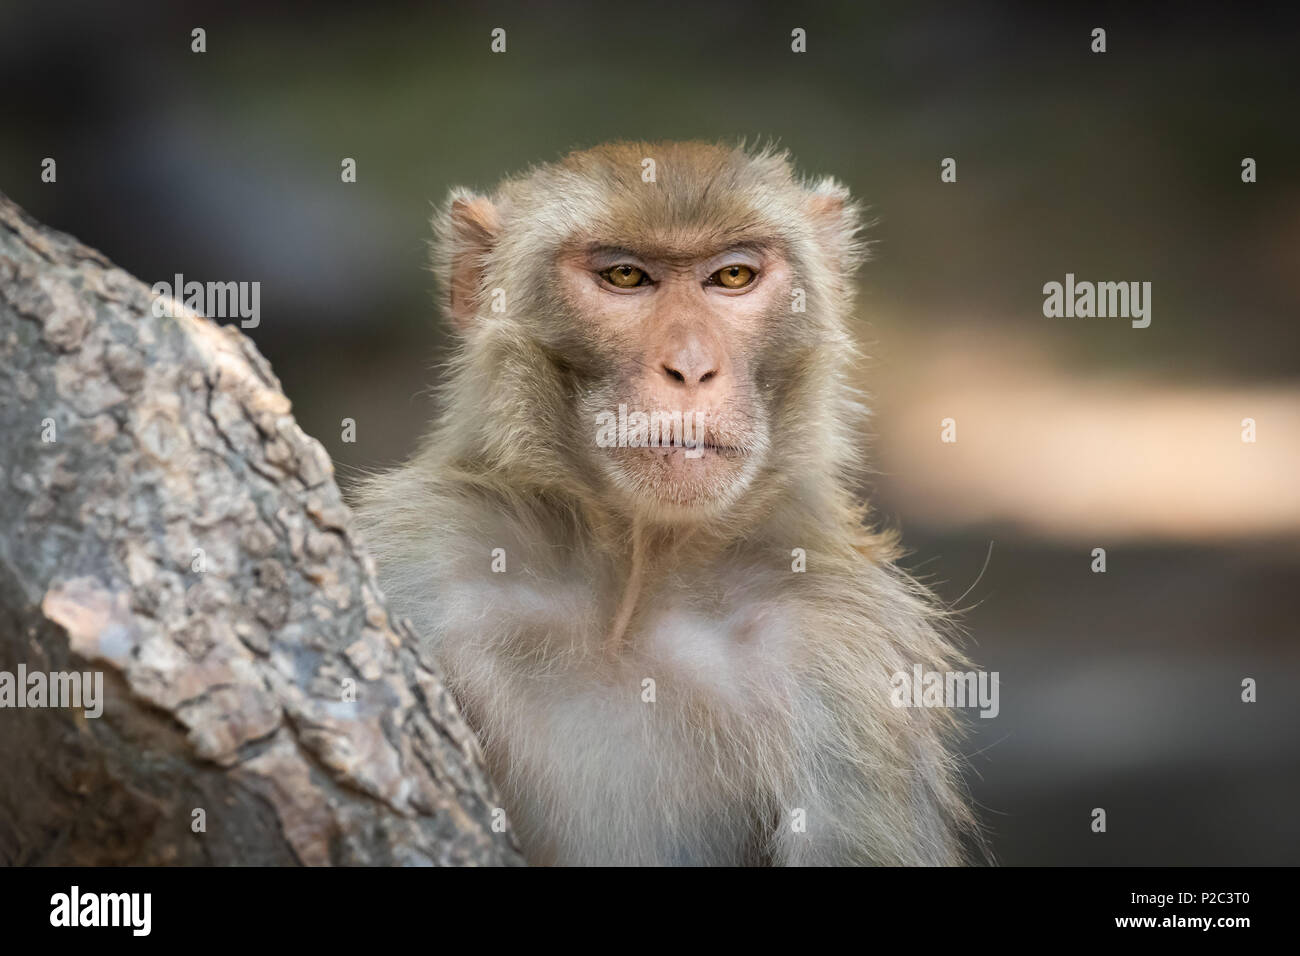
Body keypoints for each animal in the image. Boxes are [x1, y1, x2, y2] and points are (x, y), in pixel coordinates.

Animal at [351, 141, 977, 868]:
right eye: (626, 276)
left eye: (732, 276)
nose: (691, 366)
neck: (636, 580)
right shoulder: (425, 549)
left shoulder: (843, 657)